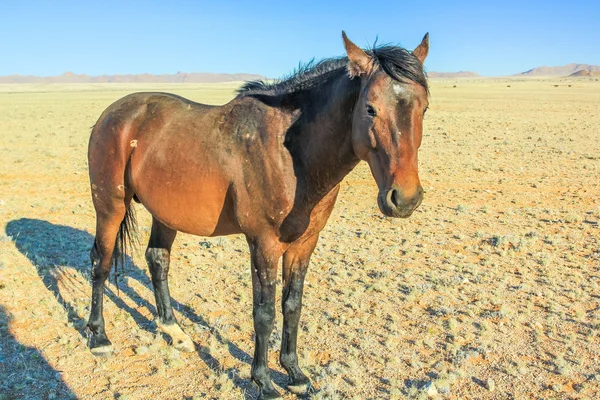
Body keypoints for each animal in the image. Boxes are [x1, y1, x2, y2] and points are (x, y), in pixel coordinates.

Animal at [86, 32, 428, 398]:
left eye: (424, 108)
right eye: (370, 108)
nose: (404, 198)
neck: (290, 152)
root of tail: (114, 113)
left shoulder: (304, 244)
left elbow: (292, 306)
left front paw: (295, 372)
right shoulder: (263, 244)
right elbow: (264, 313)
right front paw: (263, 380)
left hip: (165, 214)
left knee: (157, 259)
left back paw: (174, 332)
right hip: (110, 207)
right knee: (100, 263)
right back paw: (99, 337)